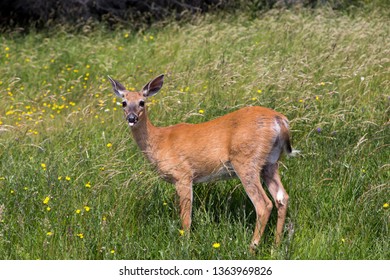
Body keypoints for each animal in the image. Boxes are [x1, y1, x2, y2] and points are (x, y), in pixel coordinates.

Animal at [108, 74, 298, 252]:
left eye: (142, 102)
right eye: (124, 103)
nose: (131, 118)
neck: (159, 140)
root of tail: (280, 120)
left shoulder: (183, 175)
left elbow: (186, 217)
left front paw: (184, 244)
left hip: (246, 161)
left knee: (264, 204)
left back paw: (252, 248)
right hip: (270, 163)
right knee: (282, 197)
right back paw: (276, 246)